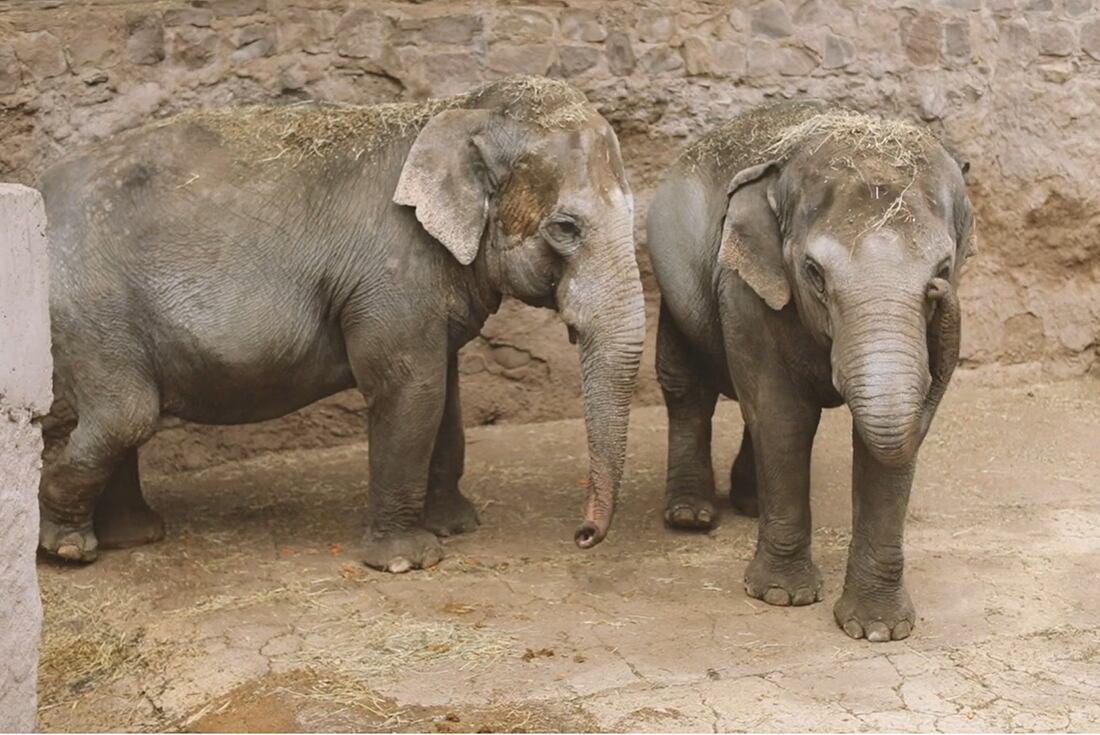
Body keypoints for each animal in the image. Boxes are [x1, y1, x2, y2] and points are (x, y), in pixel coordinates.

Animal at [38, 74, 642, 572]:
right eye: (566, 228)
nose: (582, 535)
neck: (457, 109)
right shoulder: (390, 274)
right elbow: (411, 389)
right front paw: (407, 561)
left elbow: (445, 394)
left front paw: (456, 527)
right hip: (87, 309)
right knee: (127, 415)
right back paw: (67, 549)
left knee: (123, 418)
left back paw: (134, 537)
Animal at [646, 100, 976, 638]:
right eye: (814, 273)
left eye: (943, 270)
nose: (939, 292)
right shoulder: (743, 286)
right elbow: (783, 418)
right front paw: (782, 596)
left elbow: (880, 440)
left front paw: (878, 629)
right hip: (672, 282)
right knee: (687, 385)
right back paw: (691, 516)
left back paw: (749, 504)